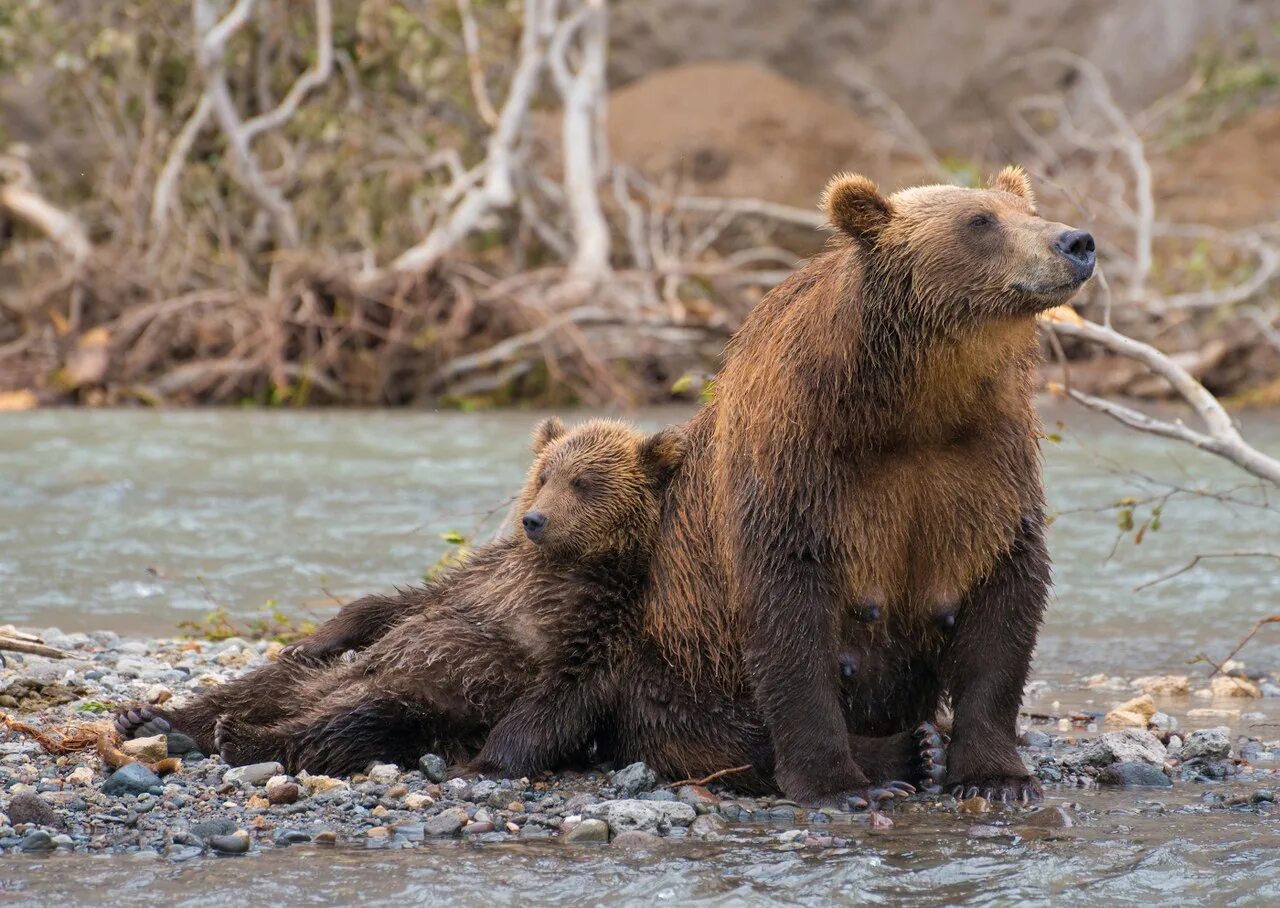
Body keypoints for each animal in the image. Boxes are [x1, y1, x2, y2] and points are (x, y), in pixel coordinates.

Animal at [570, 166, 1090, 804]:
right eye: (981, 221)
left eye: (1027, 211)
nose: (1075, 241)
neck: (916, 399)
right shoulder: (800, 465)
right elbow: (790, 614)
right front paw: (839, 784)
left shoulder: (988, 466)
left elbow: (1004, 604)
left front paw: (999, 776)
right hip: (672, 658)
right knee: (711, 732)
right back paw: (901, 753)